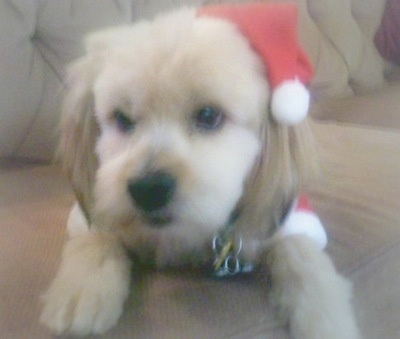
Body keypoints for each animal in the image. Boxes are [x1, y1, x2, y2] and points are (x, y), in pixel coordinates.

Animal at [39, 3, 360, 338]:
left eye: (208, 115)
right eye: (122, 118)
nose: (147, 189)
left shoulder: (285, 218)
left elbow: (301, 252)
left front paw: (325, 312)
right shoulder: (104, 204)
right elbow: (97, 235)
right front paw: (82, 288)